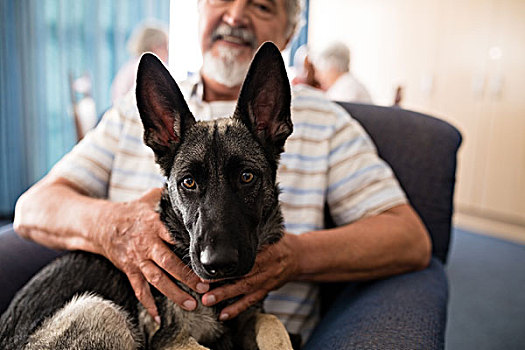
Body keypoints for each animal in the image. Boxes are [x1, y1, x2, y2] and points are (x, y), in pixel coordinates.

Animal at [0, 43, 294, 350]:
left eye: (247, 177)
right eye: (188, 182)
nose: (218, 263)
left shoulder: (249, 317)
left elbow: (273, 324)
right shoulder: (171, 338)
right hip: (102, 310)